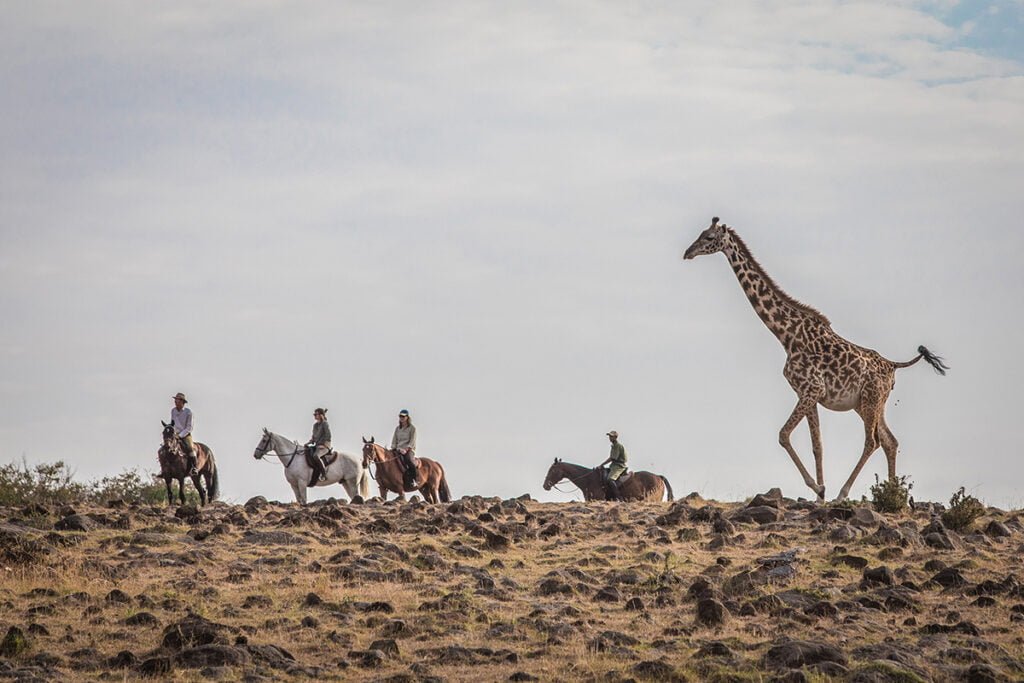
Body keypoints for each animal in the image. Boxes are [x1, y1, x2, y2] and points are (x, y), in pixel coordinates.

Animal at [684, 219, 946, 501]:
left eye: (709, 237)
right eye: (700, 234)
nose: (688, 252)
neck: (786, 335)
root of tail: (894, 366)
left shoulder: (812, 389)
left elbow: (783, 435)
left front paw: (819, 487)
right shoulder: (809, 393)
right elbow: (817, 445)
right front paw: (820, 494)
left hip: (871, 400)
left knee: (873, 441)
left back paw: (846, 493)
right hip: (870, 403)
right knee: (890, 441)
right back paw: (891, 494)